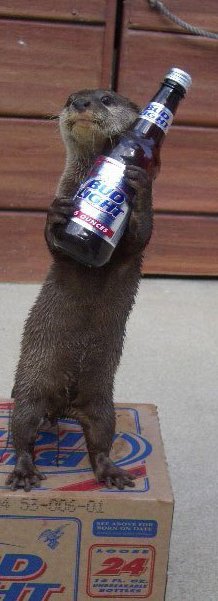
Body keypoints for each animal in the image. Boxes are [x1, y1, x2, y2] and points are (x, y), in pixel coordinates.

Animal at [6, 90, 155, 492]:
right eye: (70, 97)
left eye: (106, 98)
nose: (81, 102)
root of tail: (63, 405)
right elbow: (58, 245)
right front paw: (57, 213)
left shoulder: (134, 242)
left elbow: (138, 236)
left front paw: (135, 185)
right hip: (31, 383)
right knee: (22, 430)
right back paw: (24, 470)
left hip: (102, 400)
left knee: (100, 439)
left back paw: (111, 472)